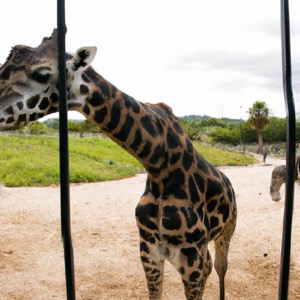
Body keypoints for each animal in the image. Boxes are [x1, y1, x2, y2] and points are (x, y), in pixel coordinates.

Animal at [0, 29, 237, 298]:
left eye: (41, 74)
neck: (159, 165)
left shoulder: (192, 259)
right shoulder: (149, 250)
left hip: (226, 232)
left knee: (219, 267)